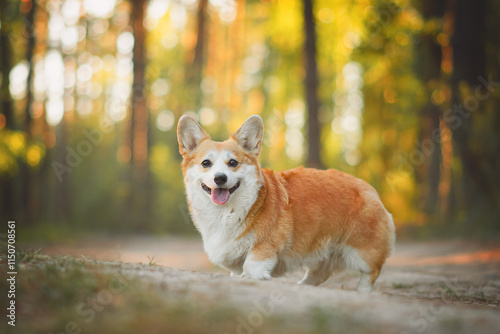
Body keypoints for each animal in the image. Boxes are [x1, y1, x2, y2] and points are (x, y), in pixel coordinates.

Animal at [177, 115, 394, 292]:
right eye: (206, 163)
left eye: (233, 163)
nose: (220, 178)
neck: (226, 211)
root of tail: (370, 190)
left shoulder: (263, 249)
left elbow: (251, 268)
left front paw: (249, 278)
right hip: (322, 253)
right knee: (318, 274)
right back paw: (301, 286)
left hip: (363, 252)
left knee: (370, 274)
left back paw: (362, 292)